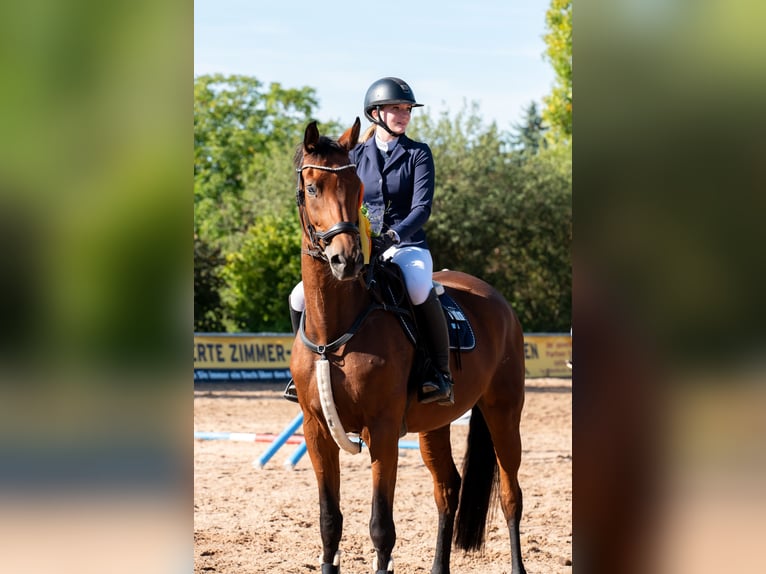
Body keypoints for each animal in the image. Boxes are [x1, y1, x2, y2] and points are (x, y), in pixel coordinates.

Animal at [289, 118, 527, 574]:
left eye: (356, 188)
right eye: (312, 188)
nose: (347, 259)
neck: (335, 327)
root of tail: (498, 300)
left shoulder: (382, 429)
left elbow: (381, 526)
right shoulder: (316, 430)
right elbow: (329, 521)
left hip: (503, 412)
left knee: (511, 495)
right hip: (435, 423)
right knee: (448, 489)